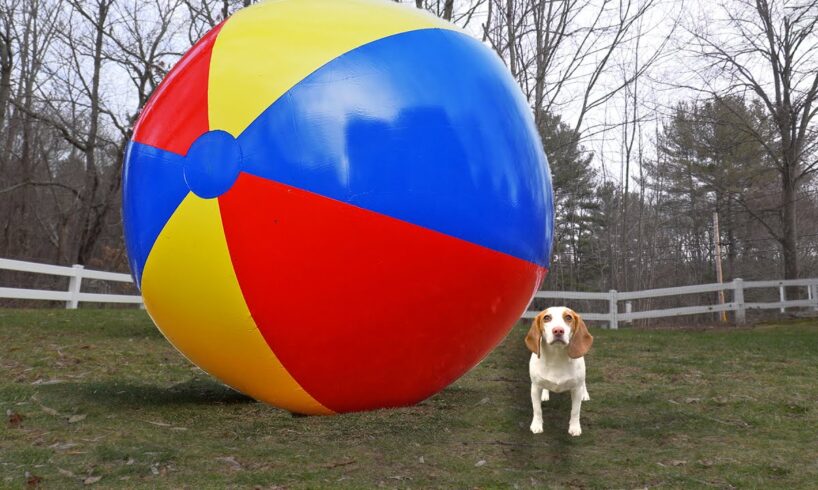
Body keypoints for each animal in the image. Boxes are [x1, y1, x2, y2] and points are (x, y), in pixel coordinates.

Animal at [524, 306, 588, 436]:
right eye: (546, 318)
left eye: (568, 317)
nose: (558, 330)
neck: (556, 357)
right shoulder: (535, 387)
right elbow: (537, 409)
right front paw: (536, 425)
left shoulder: (576, 389)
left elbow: (575, 411)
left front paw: (574, 427)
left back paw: (585, 394)